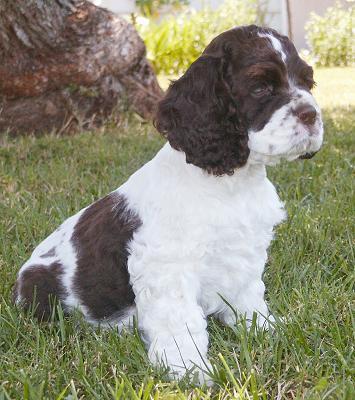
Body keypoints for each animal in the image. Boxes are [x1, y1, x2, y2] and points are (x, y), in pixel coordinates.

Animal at [13, 25, 324, 384]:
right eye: (260, 87)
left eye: (308, 83)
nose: (312, 115)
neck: (230, 182)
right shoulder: (167, 266)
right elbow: (180, 321)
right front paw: (188, 369)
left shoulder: (243, 254)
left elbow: (249, 297)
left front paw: (265, 329)